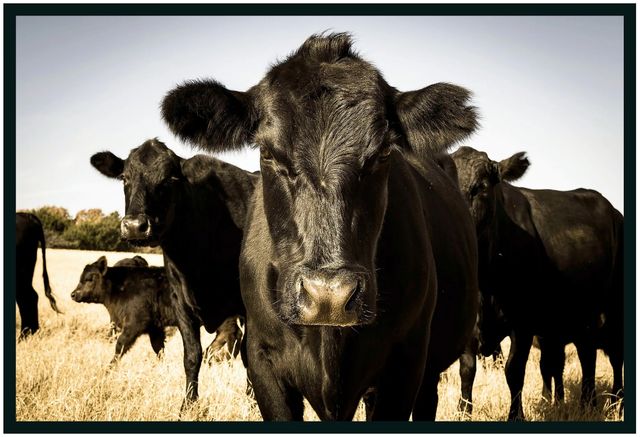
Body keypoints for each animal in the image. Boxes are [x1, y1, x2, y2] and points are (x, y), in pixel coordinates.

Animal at [90, 139, 257, 410]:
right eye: (125, 177)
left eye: (169, 179)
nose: (135, 226)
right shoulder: (181, 303)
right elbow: (192, 356)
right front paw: (188, 405)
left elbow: (249, 357)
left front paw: (254, 402)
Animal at [451, 146, 624, 420]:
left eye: (481, 187)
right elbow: (467, 370)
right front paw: (463, 412)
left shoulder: (523, 323)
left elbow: (514, 371)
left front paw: (516, 416)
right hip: (582, 315)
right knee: (587, 354)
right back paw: (588, 403)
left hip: (613, 310)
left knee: (614, 356)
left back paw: (615, 403)